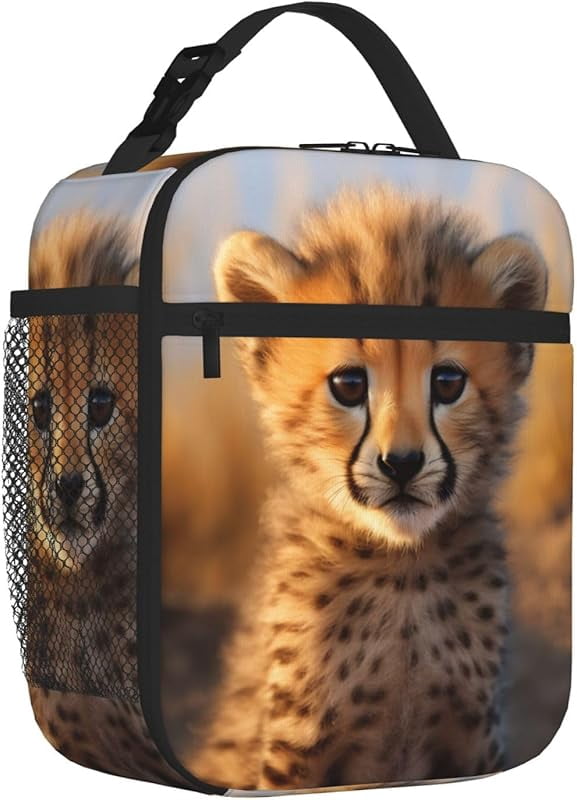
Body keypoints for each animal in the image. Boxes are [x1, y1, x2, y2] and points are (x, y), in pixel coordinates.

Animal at [186, 185, 548, 791]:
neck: (402, 570)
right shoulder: (297, 754)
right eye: (350, 384)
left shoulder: (471, 741)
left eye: (447, 382)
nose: (401, 463)